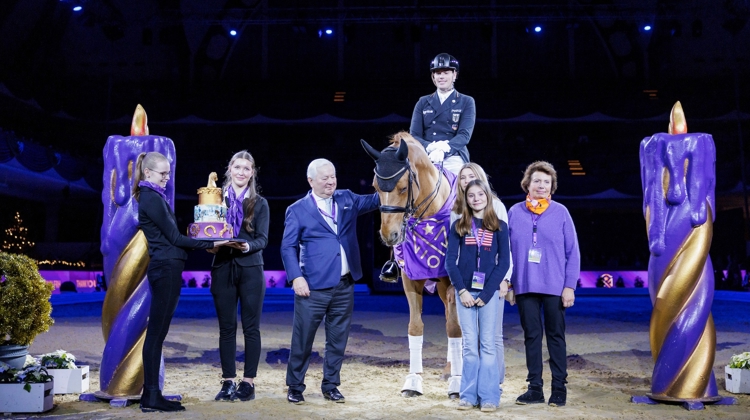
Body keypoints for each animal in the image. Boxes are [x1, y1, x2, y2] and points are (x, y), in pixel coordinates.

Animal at [360, 133, 462, 398]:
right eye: (375, 187)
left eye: (403, 188)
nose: (390, 236)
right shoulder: (410, 280)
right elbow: (415, 327)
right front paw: (413, 382)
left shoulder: (454, 285)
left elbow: (454, 327)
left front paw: (458, 385)